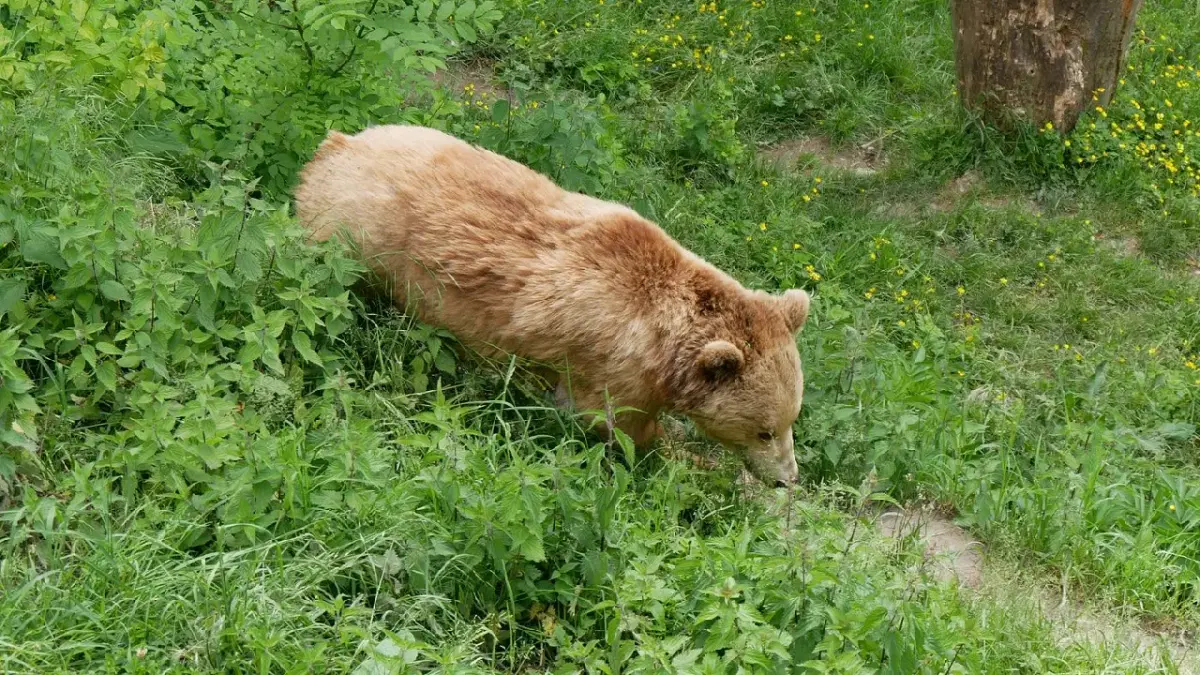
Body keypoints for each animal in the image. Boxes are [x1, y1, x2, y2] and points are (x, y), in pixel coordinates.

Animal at [294, 125, 811, 487]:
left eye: (792, 419)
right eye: (764, 430)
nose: (788, 478)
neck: (665, 345)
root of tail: (333, 148)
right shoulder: (611, 366)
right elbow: (618, 428)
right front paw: (697, 464)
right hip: (354, 246)